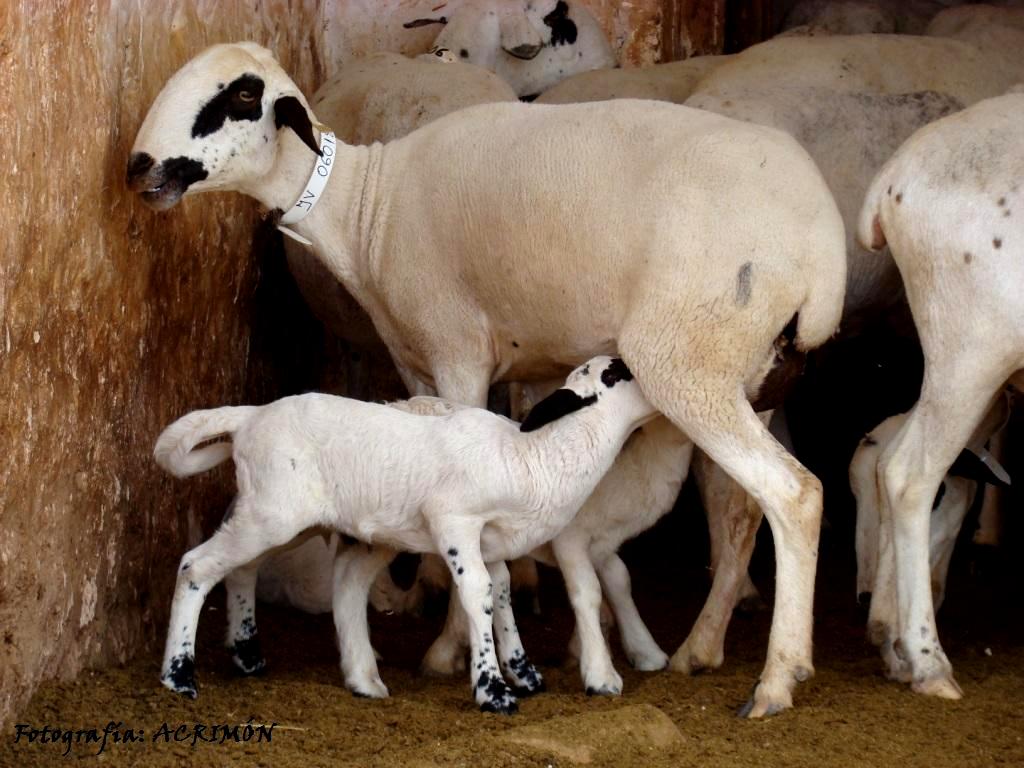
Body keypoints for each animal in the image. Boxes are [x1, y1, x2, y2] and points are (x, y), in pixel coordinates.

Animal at [154, 356, 657, 713]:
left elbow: (502, 593)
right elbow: (478, 593)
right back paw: (178, 677)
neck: (531, 454)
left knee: (268, 573)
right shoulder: (454, 521)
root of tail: (249, 417)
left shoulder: (492, 540)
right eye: (616, 373)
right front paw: (493, 691)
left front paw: (525, 675)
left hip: (289, 517)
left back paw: (293, 665)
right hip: (275, 513)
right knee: (197, 565)